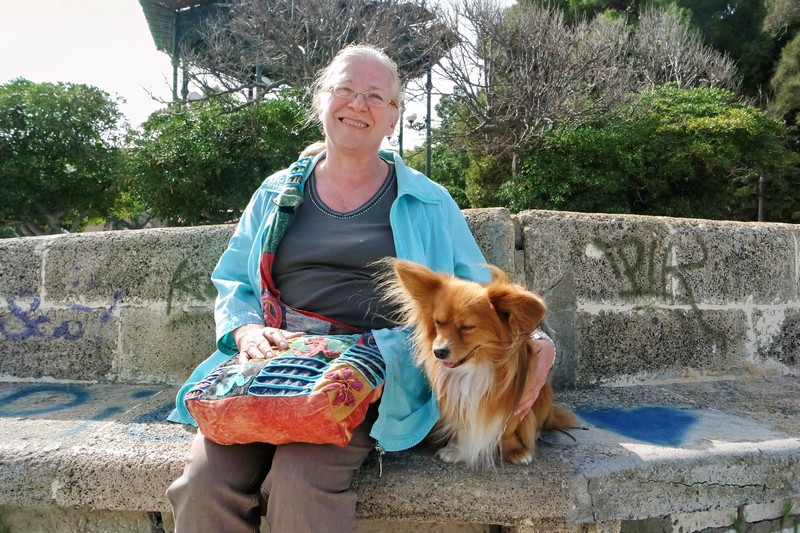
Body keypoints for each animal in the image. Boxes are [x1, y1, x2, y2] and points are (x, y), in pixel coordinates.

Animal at [385, 259, 576, 468]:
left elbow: (507, 429)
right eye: (439, 323)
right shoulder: (457, 399)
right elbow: (462, 425)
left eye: (467, 327)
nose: (439, 352)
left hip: (543, 393)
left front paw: (514, 450)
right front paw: (457, 449)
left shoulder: (516, 403)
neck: (475, 367)